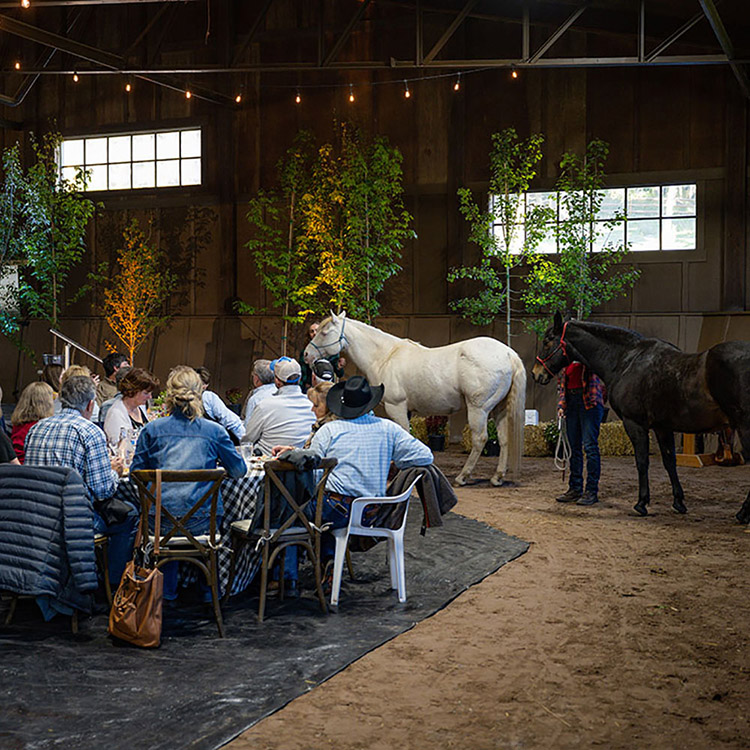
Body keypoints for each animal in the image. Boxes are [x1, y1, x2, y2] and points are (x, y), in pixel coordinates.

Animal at [302, 312, 524, 484]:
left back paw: (463, 477)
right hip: (498, 409)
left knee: (480, 439)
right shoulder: (406, 410)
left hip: (479, 409)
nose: (306, 355)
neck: (385, 356)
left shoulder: (396, 407)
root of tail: (508, 353)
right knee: (504, 439)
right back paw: (497, 477)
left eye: (324, 332)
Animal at [532, 316, 750, 524]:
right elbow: (669, 462)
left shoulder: (634, 424)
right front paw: (678, 502)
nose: (536, 373)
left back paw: (742, 514)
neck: (626, 360)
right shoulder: (663, 428)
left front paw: (641, 503)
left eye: (547, 341)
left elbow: (642, 462)